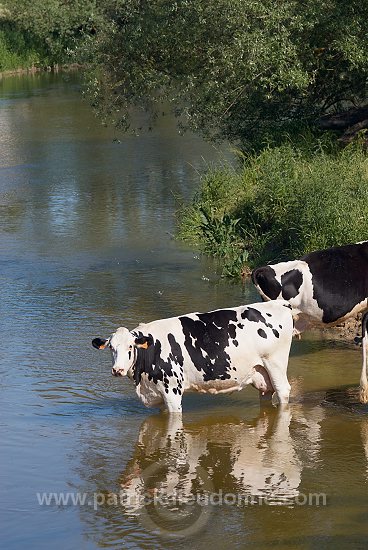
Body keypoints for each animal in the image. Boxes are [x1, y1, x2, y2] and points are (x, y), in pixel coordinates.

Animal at [92, 302, 294, 414]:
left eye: (130, 347)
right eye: (111, 347)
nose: (117, 370)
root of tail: (279, 303)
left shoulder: (172, 391)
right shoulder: (159, 393)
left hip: (275, 363)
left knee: (283, 391)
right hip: (261, 372)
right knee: (266, 394)